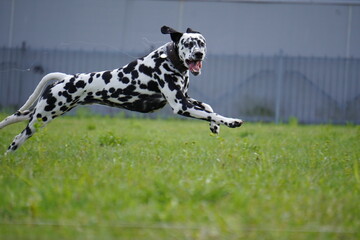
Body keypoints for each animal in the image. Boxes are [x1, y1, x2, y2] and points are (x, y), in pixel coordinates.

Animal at [0, 25, 242, 154]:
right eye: (188, 43)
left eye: (201, 42)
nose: (199, 54)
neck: (170, 60)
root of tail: (67, 78)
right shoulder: (180, 105)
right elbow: (214, 113)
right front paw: (230, 122)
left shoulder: (186, 100)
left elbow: (209, 108)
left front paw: (215, 127)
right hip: (41, 118)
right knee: (16, 139)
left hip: (40, 113)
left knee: (12, 117)